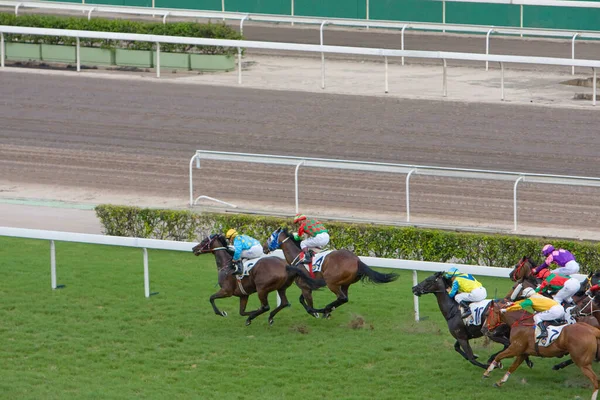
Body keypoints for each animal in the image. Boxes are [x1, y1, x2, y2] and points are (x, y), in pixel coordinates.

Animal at [193, 234, 326, 324]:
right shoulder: (243, 294)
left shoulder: (227, 291)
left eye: (204, 241)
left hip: (262, 288)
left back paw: (252, 318)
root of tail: (287, 266)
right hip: (281, 287)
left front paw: (221, 312)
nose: (194, 249)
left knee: (266, 306)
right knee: (283, 303)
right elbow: (242, 311)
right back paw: (269, 317)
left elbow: (211, 298)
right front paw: (252, 312)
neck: (227, 265)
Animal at [264, 228, 398, 318]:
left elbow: (309, 305)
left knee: (342, 297)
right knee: (343, 298)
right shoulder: (308, 286)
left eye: (270, 237)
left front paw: (315, 313)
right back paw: (328, 310)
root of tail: (357, 260)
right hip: (345, 283)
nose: (264, 247)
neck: (297, 257)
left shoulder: (305, 287)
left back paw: (325, 309)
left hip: (331, 282)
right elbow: (301, 300)